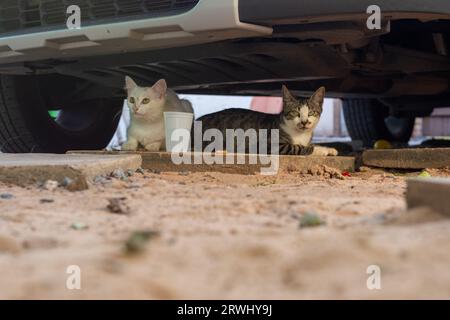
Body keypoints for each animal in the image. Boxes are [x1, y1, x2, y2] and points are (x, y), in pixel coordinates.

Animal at [193, 84, 338, 156]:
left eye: (311, 113)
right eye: (295, 113)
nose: (304, 122)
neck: (301, 135)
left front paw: (328, 149)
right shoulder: (270, 145)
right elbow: (298, 147)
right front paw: (317, 150)